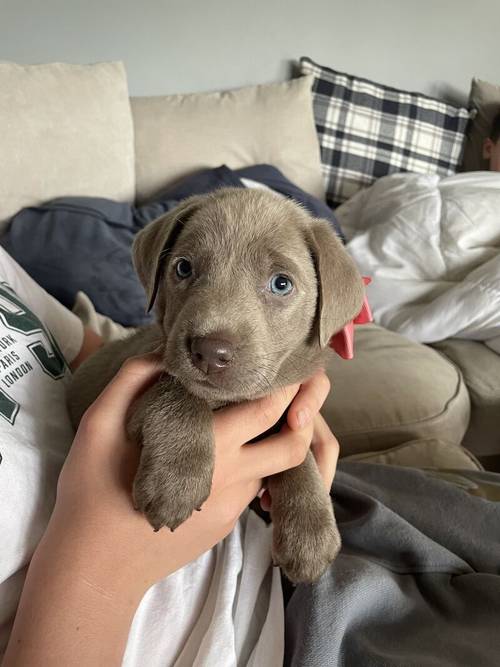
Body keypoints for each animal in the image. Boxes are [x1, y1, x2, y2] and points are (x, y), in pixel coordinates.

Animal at [67, 188, 364, 584]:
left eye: (281, 283)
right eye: (183, 268)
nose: (210, 352)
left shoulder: (288, 411)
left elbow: (299, 456)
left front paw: (310, 531)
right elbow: (177, 391)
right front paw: (175, 480)